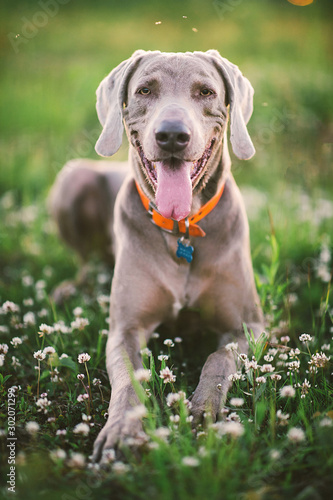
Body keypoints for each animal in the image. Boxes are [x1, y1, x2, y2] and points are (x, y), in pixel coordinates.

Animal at [49, 49, 262, 460]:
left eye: (206, 91)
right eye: (145, 90)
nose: (172, 135)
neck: (182, 230)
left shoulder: (250, 325)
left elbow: (220, 358)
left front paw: (205, 408)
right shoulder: (125, 329)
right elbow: (129, 380)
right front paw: (121, 429)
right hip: (74, 178)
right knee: (84, 263)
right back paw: (68, 289)